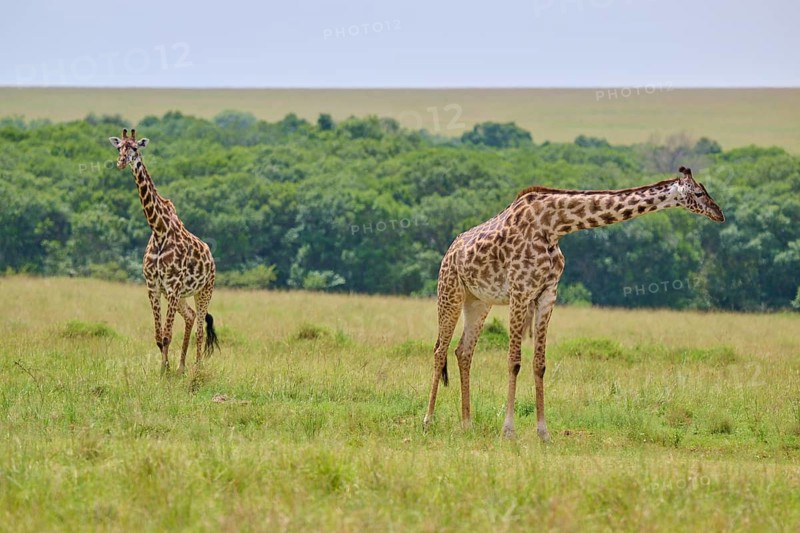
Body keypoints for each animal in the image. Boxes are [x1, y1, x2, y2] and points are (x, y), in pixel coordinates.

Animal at [109, 129, 219, 373]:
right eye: (119, 147)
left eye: (135, 147)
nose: (121, 162)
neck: (159, 229)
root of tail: (211, 257)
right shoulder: (154, 287)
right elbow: (159, 337)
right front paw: (164, 369)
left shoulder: (173, 285)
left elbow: (167, 336)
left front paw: (165, 373)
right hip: (181, 295)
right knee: (190, 317)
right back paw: (181, 366)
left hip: (204, 290)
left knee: (200, 328)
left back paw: (197, 368)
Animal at [423, 166, 724, 440]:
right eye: (699, 192)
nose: (719, 213)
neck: (554, 226)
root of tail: (450, 250)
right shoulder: (521, 290)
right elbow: (514, 361)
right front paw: (508, 431)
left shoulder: (548, 293)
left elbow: (539, 363)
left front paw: (543, 433)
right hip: (449, 290)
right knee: (439, 349)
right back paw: (428, 422)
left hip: (478, 301)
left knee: (463, 351)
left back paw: (467, 425)